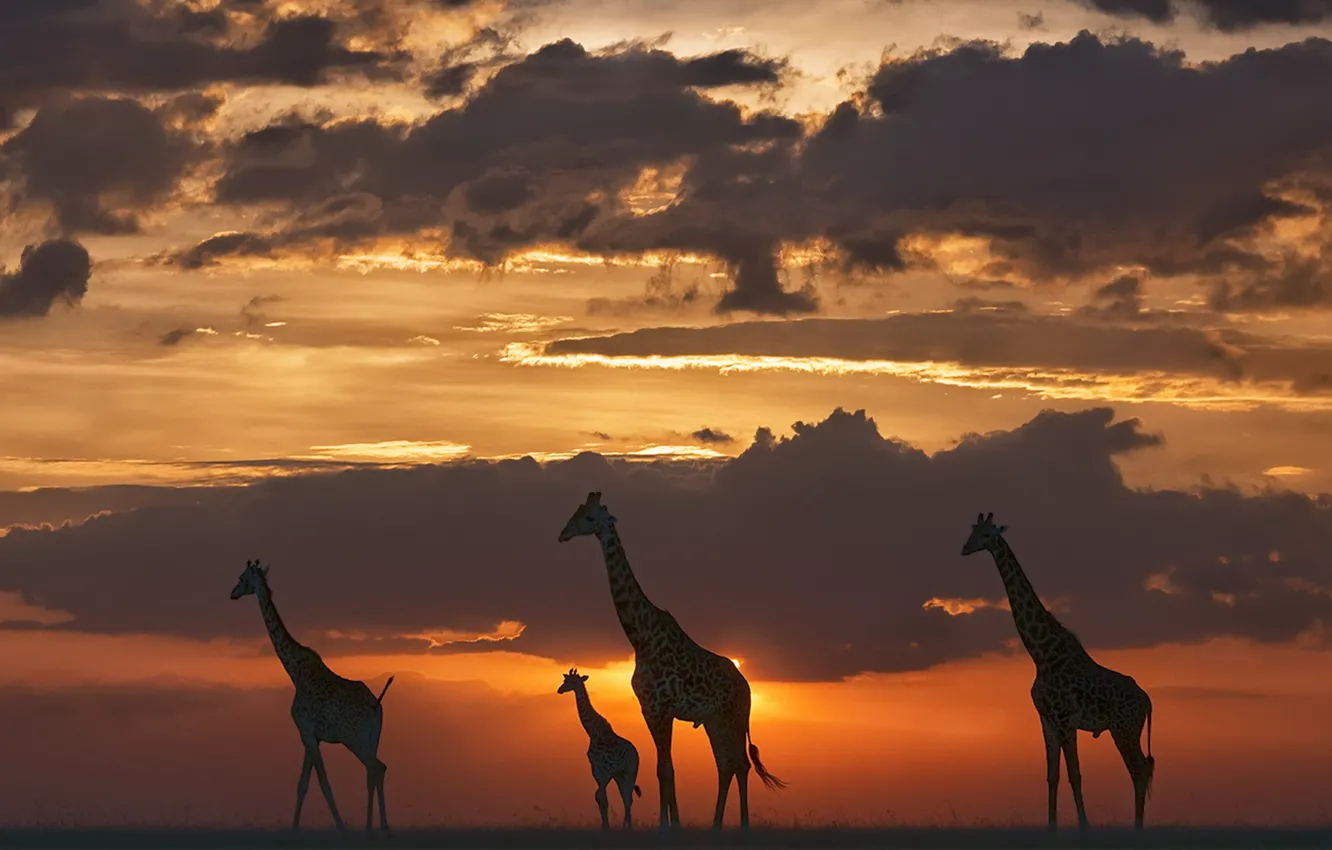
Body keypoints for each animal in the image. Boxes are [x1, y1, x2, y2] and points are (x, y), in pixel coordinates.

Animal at [229, 559, 394, 833]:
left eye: (242, 577)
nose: (232, 593)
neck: (294, 671)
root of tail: (376, 706)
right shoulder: (311, 736)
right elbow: (303, 784)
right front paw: (294, 829)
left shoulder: (305, 731)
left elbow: (322, 783)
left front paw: (341, 829)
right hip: (373, 736)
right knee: (374, 771)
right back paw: (375, 827)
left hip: (354, 737)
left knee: (376, 767)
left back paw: (379, 827)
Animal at [557, 668, 643, 829]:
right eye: (565, 680)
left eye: (573, 681)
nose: (559, 690)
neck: (593, 733)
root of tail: (636, 752)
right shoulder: (596, 770)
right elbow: (600, 797)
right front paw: (605, 827)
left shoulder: (607, 770)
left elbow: (602, 796)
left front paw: (607, 827)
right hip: (619, 775)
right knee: (625, 797)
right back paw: (625, 826)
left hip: (631, 771)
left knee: (628, 797)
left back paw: (627, 827)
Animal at [959, 513, 1155, 831]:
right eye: (973, 531)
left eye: (988, 534)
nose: (965, 548)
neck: (1041, 654)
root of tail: (1148, 701)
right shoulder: (1047, 721)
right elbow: (1053, 777)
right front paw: (1051, 827)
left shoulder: (1065, 720)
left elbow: (1076, 775)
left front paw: (1084, 827)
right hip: (1126, 730)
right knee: (1145, 768)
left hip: (1124, 728)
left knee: (1139, 769)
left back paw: (1138, 829)